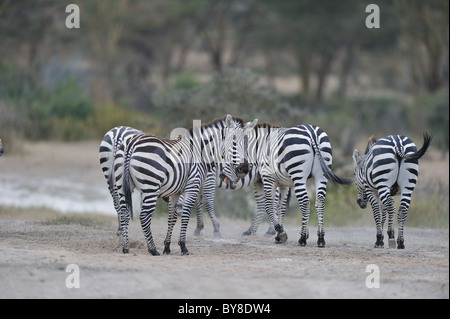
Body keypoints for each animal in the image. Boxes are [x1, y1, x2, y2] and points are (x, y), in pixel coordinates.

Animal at [114, 114, 258, 256]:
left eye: (247, 144)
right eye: (234, 143)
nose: (245, 169)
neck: (201, 153)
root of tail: (132, 142)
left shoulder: (174, 193)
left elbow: (172, 218)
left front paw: (167, 247)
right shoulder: (192, 186)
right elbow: (186, 214)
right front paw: (183, 246)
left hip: (122, 186)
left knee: (124, 213)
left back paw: (126, 247)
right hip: (151, 187)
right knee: (144, 217)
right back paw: (153, 249)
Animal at [220, 124, 354, 248]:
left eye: (225, 155)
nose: (221, 176)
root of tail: (312, 133)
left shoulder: (268, 179)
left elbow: (269, 205)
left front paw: (281, 232)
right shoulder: (284, 184)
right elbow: (281, 208)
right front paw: (280, 235)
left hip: (298, 174)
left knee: (305, 203)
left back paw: (302, 239)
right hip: (321, 175)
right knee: (319, 202)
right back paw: (320, 238)